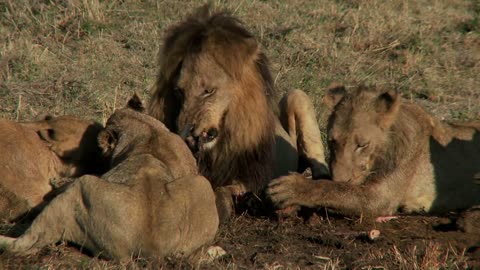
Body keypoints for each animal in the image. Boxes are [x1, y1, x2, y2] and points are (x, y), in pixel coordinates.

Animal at [150, 6, 330, 217]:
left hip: (298, 96)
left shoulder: (254, 175)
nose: (187, 135)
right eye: (179, 91)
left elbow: (228, 189)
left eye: (208, 91)